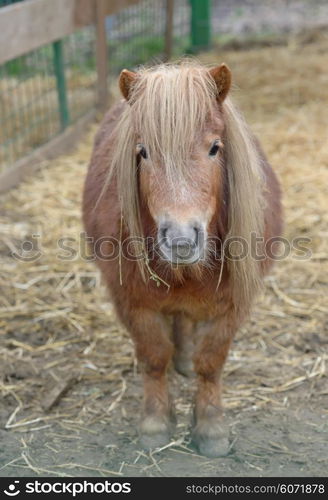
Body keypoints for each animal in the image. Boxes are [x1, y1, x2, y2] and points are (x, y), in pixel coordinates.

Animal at [82, 61, 282, 458]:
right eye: (142, 151)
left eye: (215, 148)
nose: (181, 240)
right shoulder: (135, 303)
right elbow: (154, 358)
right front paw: (155, 423)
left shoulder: (231, 306)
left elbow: (210, 363)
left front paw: (211, 427)